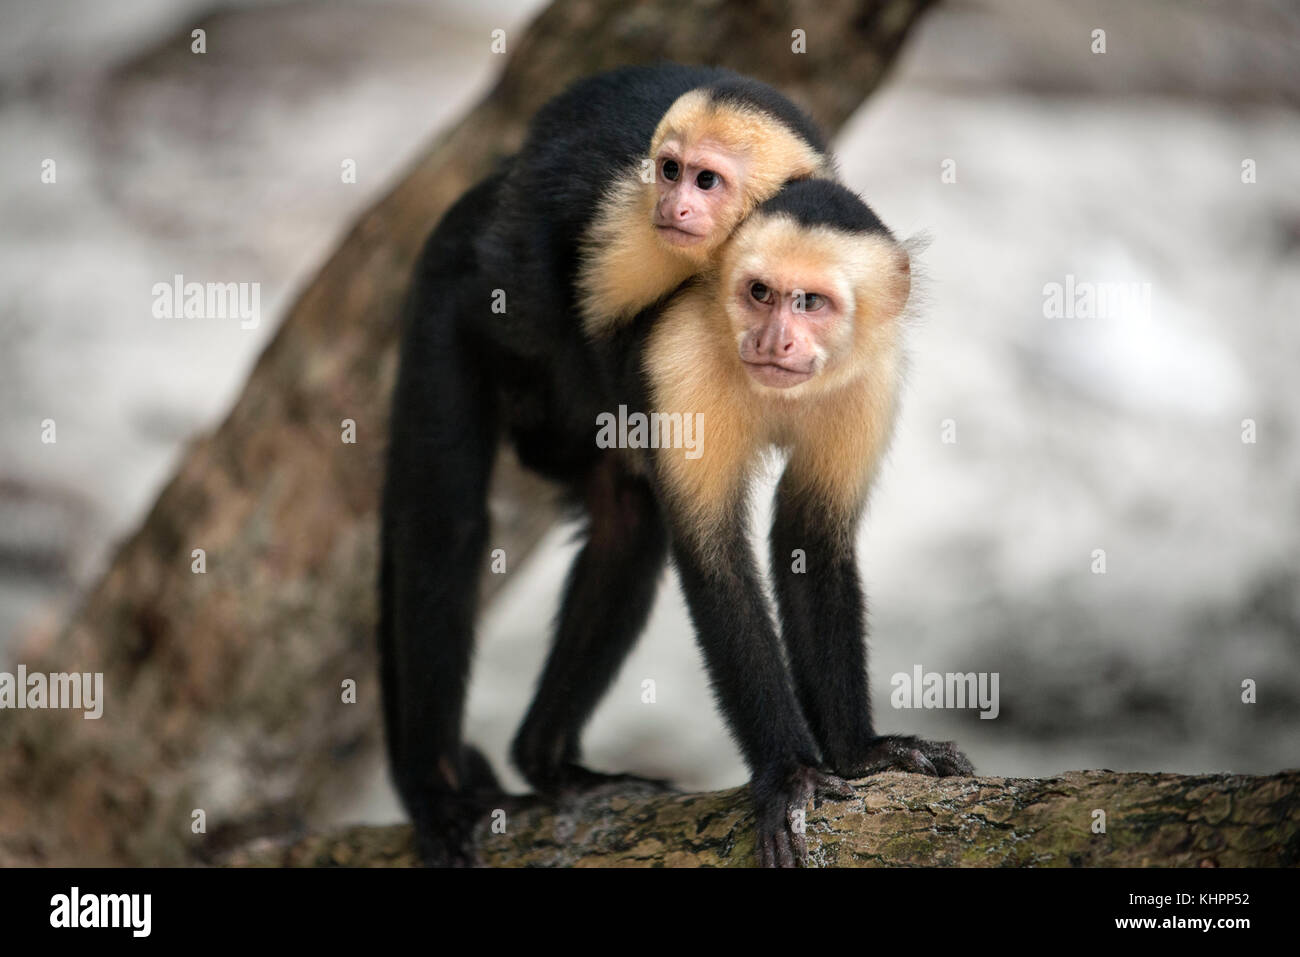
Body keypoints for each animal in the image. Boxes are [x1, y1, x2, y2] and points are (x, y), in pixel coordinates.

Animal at [379, 67, 972, 863]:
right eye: (759, 293)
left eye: (810, 303)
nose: (774, 340)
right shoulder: (674, 346)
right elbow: (713, 558)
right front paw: (788, 773)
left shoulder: (867, 380)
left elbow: (809, 541)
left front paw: (860, 751)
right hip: (452, 293)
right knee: (447, 527)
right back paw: (439, 791)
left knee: (626, 525)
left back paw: (549, 762)